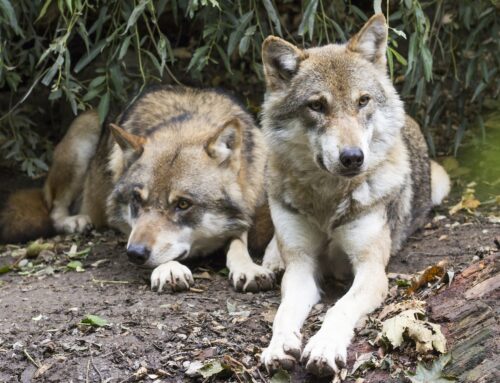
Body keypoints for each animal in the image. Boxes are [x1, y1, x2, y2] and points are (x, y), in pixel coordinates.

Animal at [0, 85, 274, 292]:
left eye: (183, 204)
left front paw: (248, 268)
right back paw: (75, 221)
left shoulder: (247, 210)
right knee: (54, 208)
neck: (188, 119)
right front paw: (169, 269)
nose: (135, 253)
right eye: (136, 200)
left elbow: (238, 241)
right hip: (83, 135)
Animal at [260, 14, 452, 378]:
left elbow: (340, 308)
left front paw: (323, 347)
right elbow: (284, 312)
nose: (352, 157)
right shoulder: (302, 267)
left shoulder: (371, 269)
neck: (327, 200)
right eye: (317, 106)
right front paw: (278, 347)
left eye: (362, 101)